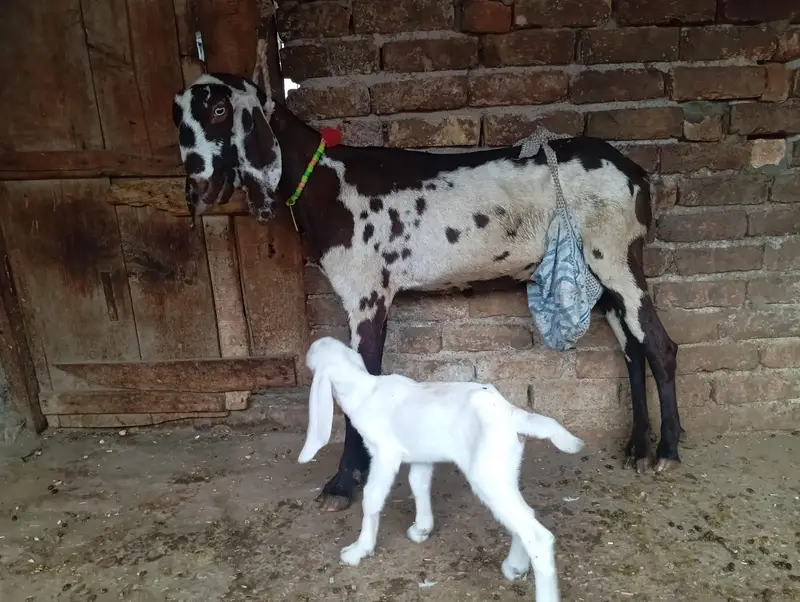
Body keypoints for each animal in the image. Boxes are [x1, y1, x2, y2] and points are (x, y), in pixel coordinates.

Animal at [172, 73, 683, 512]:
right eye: (178, 117)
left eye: (219, 108)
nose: (197, 188)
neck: (328, 180)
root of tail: (637, 175)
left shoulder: (368, 293)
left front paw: (343, 484)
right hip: (603, 271)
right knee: (633, 349)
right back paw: (638, 447)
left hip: (614, 255)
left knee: (659, 346)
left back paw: (668, 452)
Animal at [298, 336, 583, 601]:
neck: (364, 389)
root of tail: (513, 416)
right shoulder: (422, 456)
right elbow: (418, 484)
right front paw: (422, 528)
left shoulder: (385, 454)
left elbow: (372, 497)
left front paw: (359, 549)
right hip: (502, 472)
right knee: (524, 516)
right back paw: (515, 566)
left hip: (487, 474)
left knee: (537, 535)